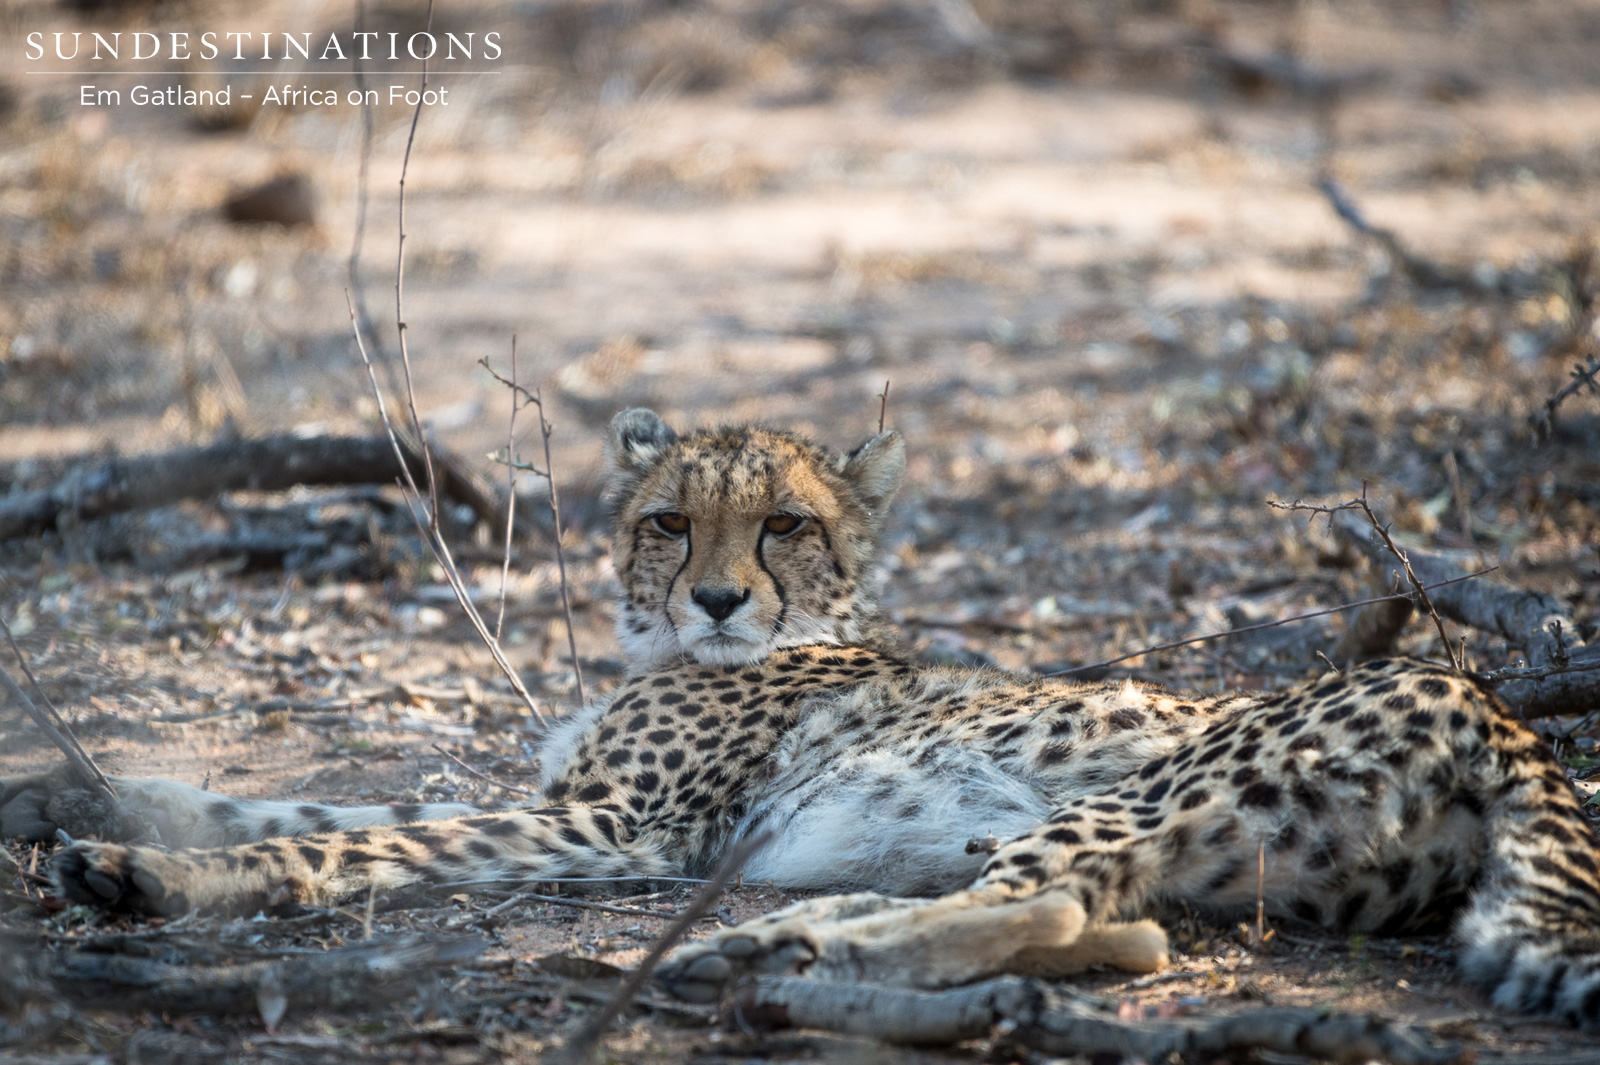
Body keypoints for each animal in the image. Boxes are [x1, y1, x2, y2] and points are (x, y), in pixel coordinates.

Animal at [4, 407, 1600, 1030]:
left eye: (784, 525)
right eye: (667, 523)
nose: (717, 600)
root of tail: (1490, 703)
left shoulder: (619, 832)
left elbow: (345, 842)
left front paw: (153, 877)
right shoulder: (577, 803)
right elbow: (309, 802)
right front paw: (74, 809)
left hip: (1145, 789)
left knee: (1043, 908)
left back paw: (768, 953)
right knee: (1104, 926)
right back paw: (784, 942)